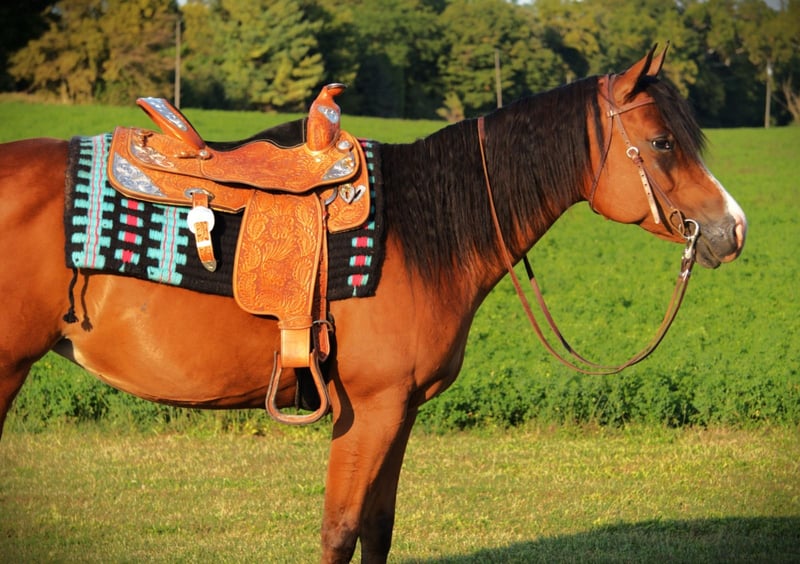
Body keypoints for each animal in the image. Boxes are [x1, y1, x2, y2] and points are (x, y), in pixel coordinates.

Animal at [0, 46, 746, 563]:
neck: (419, 233)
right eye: (662, 143)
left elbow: (378, 531)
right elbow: (339, 531)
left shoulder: (401, 411)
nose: (732, 230)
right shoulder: (370, 409)